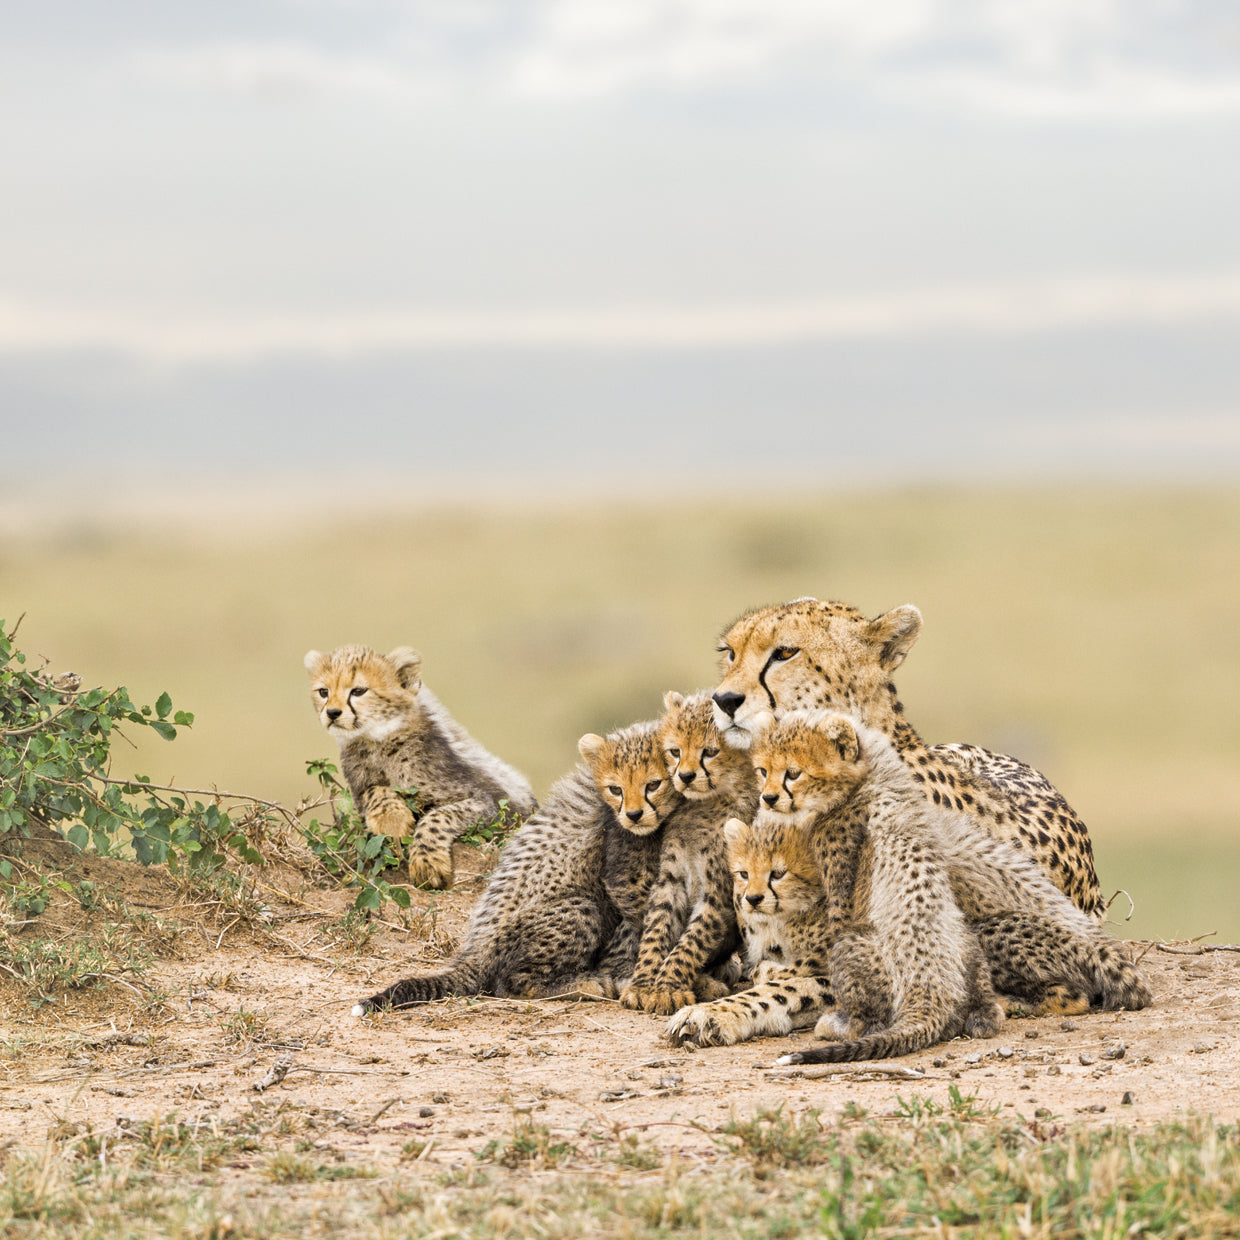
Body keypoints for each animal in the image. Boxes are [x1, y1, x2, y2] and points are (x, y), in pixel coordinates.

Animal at [305, 644, 537, 890]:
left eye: (358, 691)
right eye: (323, 692)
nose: (332, 713)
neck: (378, 739)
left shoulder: (485, 803)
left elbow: (438, 816)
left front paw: (428, 865)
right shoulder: (360, 788)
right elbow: (374, 790)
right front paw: (392, 819)